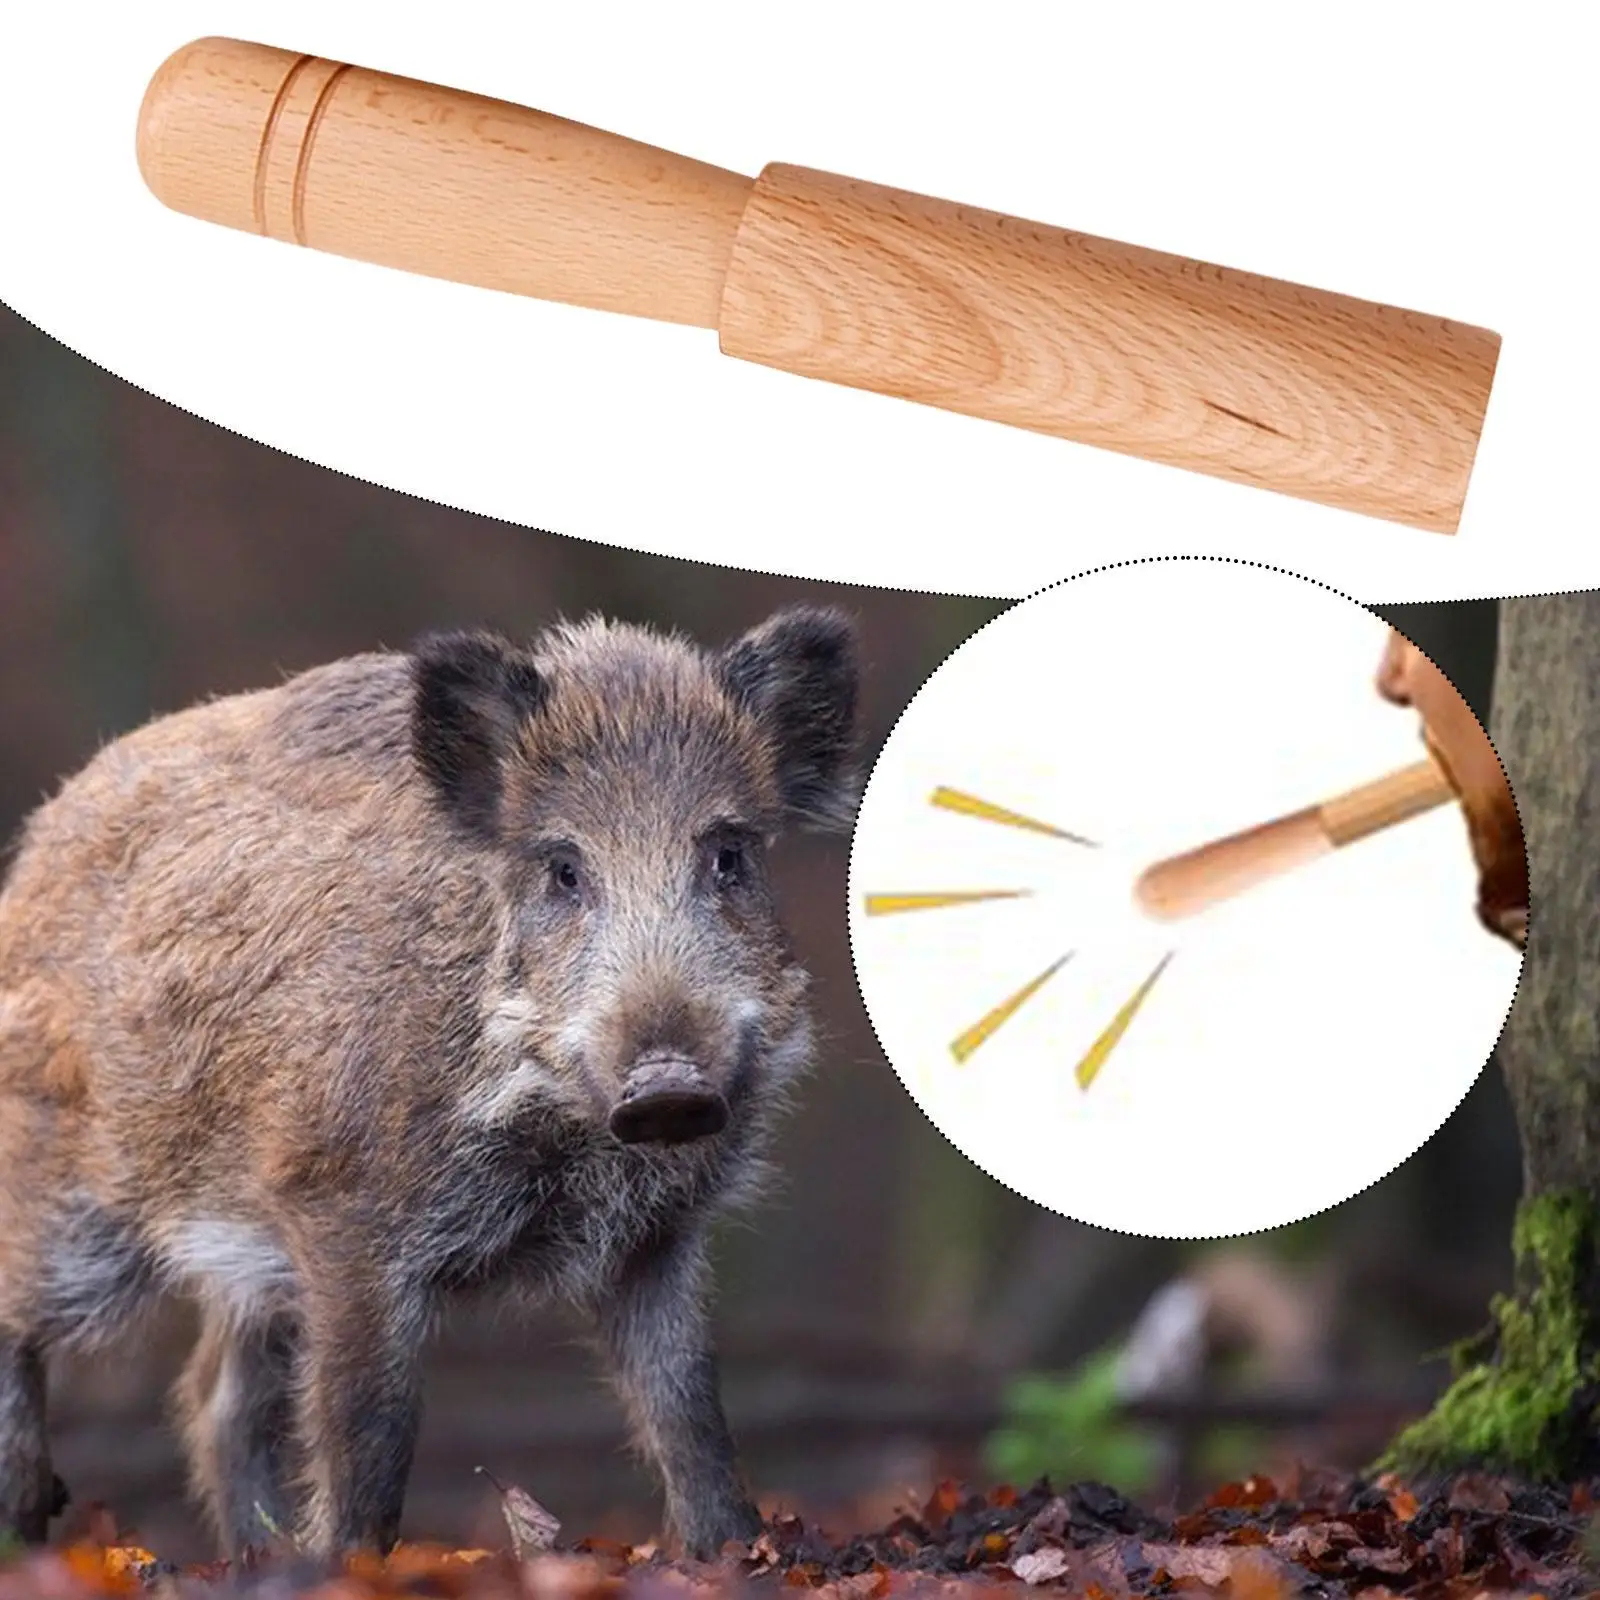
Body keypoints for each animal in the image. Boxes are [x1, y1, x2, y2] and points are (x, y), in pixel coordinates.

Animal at [0, 605, 861, 1561]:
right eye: (563, 868)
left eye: (729, 854)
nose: (667, 1083)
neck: (561, 1138)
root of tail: (38, 843)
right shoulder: (343, 1211)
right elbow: (368, 1424)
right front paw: (349, 1564)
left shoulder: (658, 1236)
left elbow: (688, 1408)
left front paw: (732, 1554)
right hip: (73, 1190)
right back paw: (31, 1520)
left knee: (214, 1393)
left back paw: (254, 1560)